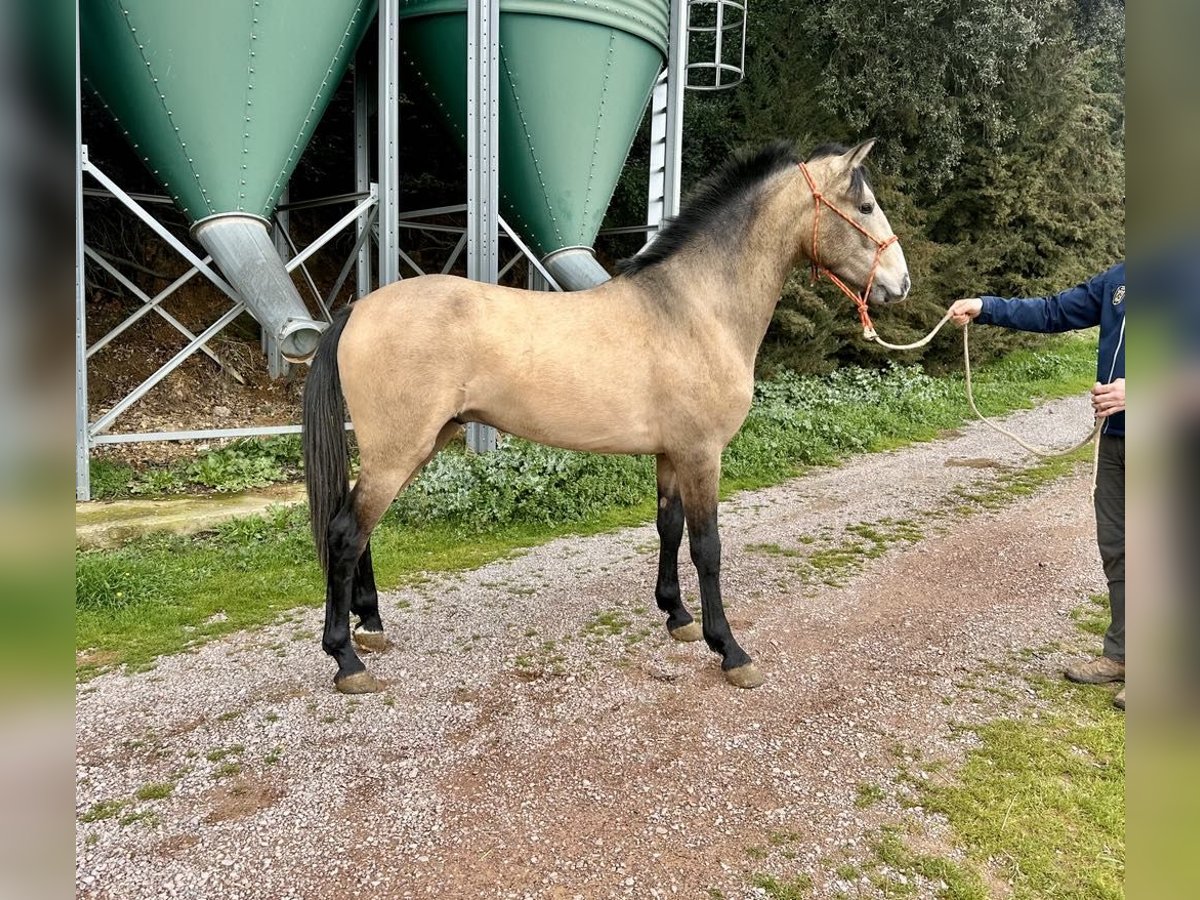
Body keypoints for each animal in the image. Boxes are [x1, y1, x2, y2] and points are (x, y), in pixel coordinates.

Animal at [300, 137, 907, 696]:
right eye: (865, 206)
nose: (899, 285)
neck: (696, 308)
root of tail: (357, 309)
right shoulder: (701, 454)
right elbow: (707, 548)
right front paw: (730, 651)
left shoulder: (671, 454)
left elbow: (669, 527)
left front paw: (677, 617)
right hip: (399, 451)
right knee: (346, 533)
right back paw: (346, 659)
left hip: (411, 447)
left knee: (361, 529)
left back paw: (370, 625)